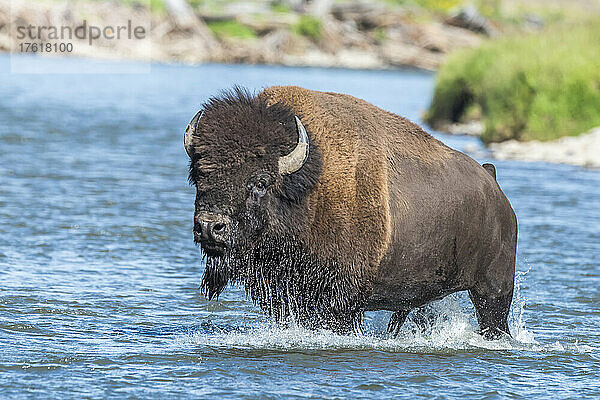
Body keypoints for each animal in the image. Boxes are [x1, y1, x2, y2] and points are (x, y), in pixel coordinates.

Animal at [185, 86, 516, 340]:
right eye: (199, 174)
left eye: (261, 182)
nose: (209, 227)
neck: (309, 185)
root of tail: (493, 183)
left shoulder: (343, 300)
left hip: (494, 291)